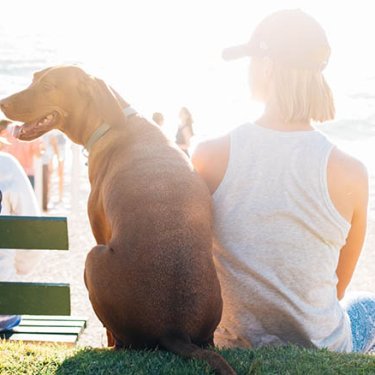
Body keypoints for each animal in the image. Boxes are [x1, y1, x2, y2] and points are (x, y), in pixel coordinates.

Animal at [0, 66, 235, 374]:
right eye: (33, 79)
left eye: (48, 86)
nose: (2, 103)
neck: (111, 122)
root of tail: (174, 329)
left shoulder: (100, 230)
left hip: (93, 258)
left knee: (120, 339)